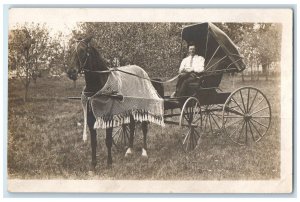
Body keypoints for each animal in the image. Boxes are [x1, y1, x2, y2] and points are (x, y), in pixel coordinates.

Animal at [69, 35, 164, 170]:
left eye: (82, 51)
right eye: (70, 50)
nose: (71, 72)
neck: (100, 85)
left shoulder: (109, 116)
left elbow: (108, 140)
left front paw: (109, 163)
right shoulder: (91, 118)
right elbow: (94, 142)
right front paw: (93, 165)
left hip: (143, 106)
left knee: (144, 128)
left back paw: (144, 152)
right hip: (130, 107)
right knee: (132, 125)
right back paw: (129, 150)